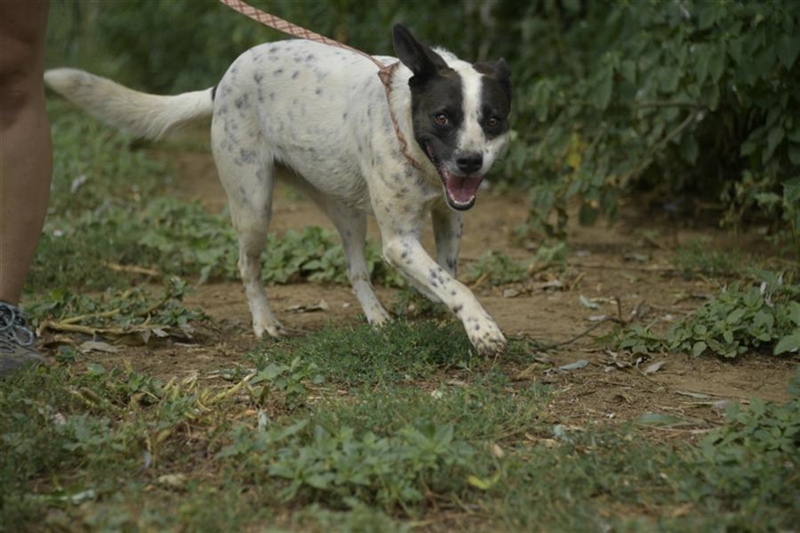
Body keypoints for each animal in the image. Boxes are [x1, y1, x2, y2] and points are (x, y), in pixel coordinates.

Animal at [44, 25, 512, 355]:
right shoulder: (399, 240)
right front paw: (483, 328)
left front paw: (441, 302)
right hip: (253, 206)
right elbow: (455, 284)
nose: (470, 161)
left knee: (356, 270)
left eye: (492, 120)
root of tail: (222, 82)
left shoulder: (449, 217)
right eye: (442, 117)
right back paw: (264, 324)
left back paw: (377, 317)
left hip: (346, 209)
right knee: (246, 265)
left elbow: (446, 274)